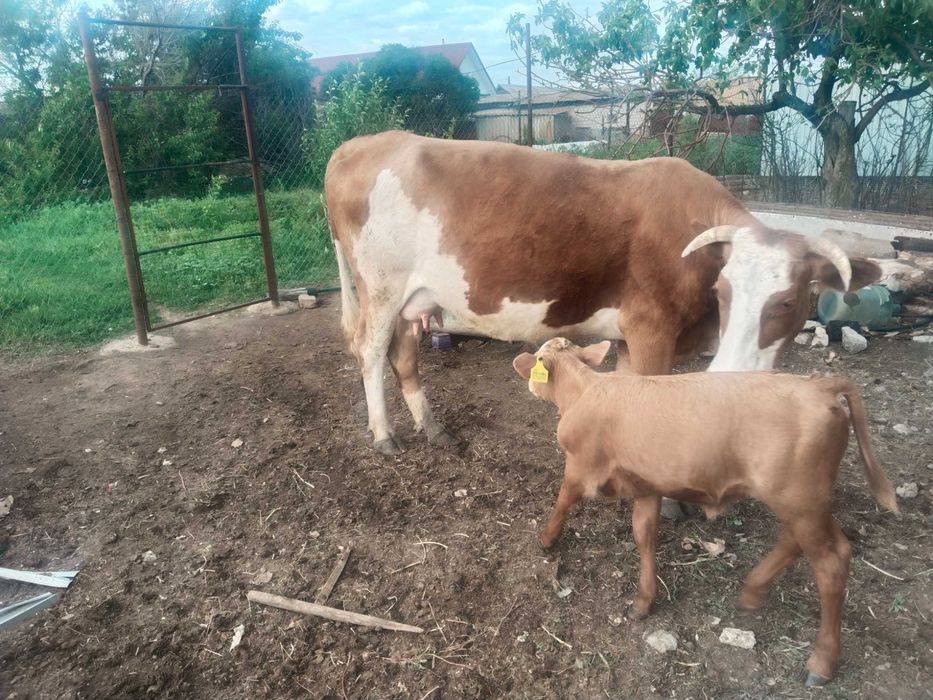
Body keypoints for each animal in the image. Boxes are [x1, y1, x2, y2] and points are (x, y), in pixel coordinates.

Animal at [324, 131, 881, 456]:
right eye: (722, 290)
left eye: (787, 301)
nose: (730, 378)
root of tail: (358, 144)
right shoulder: (652, 327)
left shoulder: (634, 338)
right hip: (380, 288)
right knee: (370, 352)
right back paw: (384, 435)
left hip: (411, 299)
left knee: (403, 355)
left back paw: (434, 429)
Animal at [512, 338, 898, 687]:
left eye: (538, 359)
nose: (528, 383)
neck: (585, 391)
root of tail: (819, 384)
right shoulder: (647, 483)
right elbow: (644, 533)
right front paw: (644, 600)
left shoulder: (580, 468)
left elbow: (564, 501)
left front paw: (546, 539)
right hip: (803, 499)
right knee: (798, 542)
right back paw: (751, 592)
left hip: (801, 498)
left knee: (831, 561)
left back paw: (822, 662)